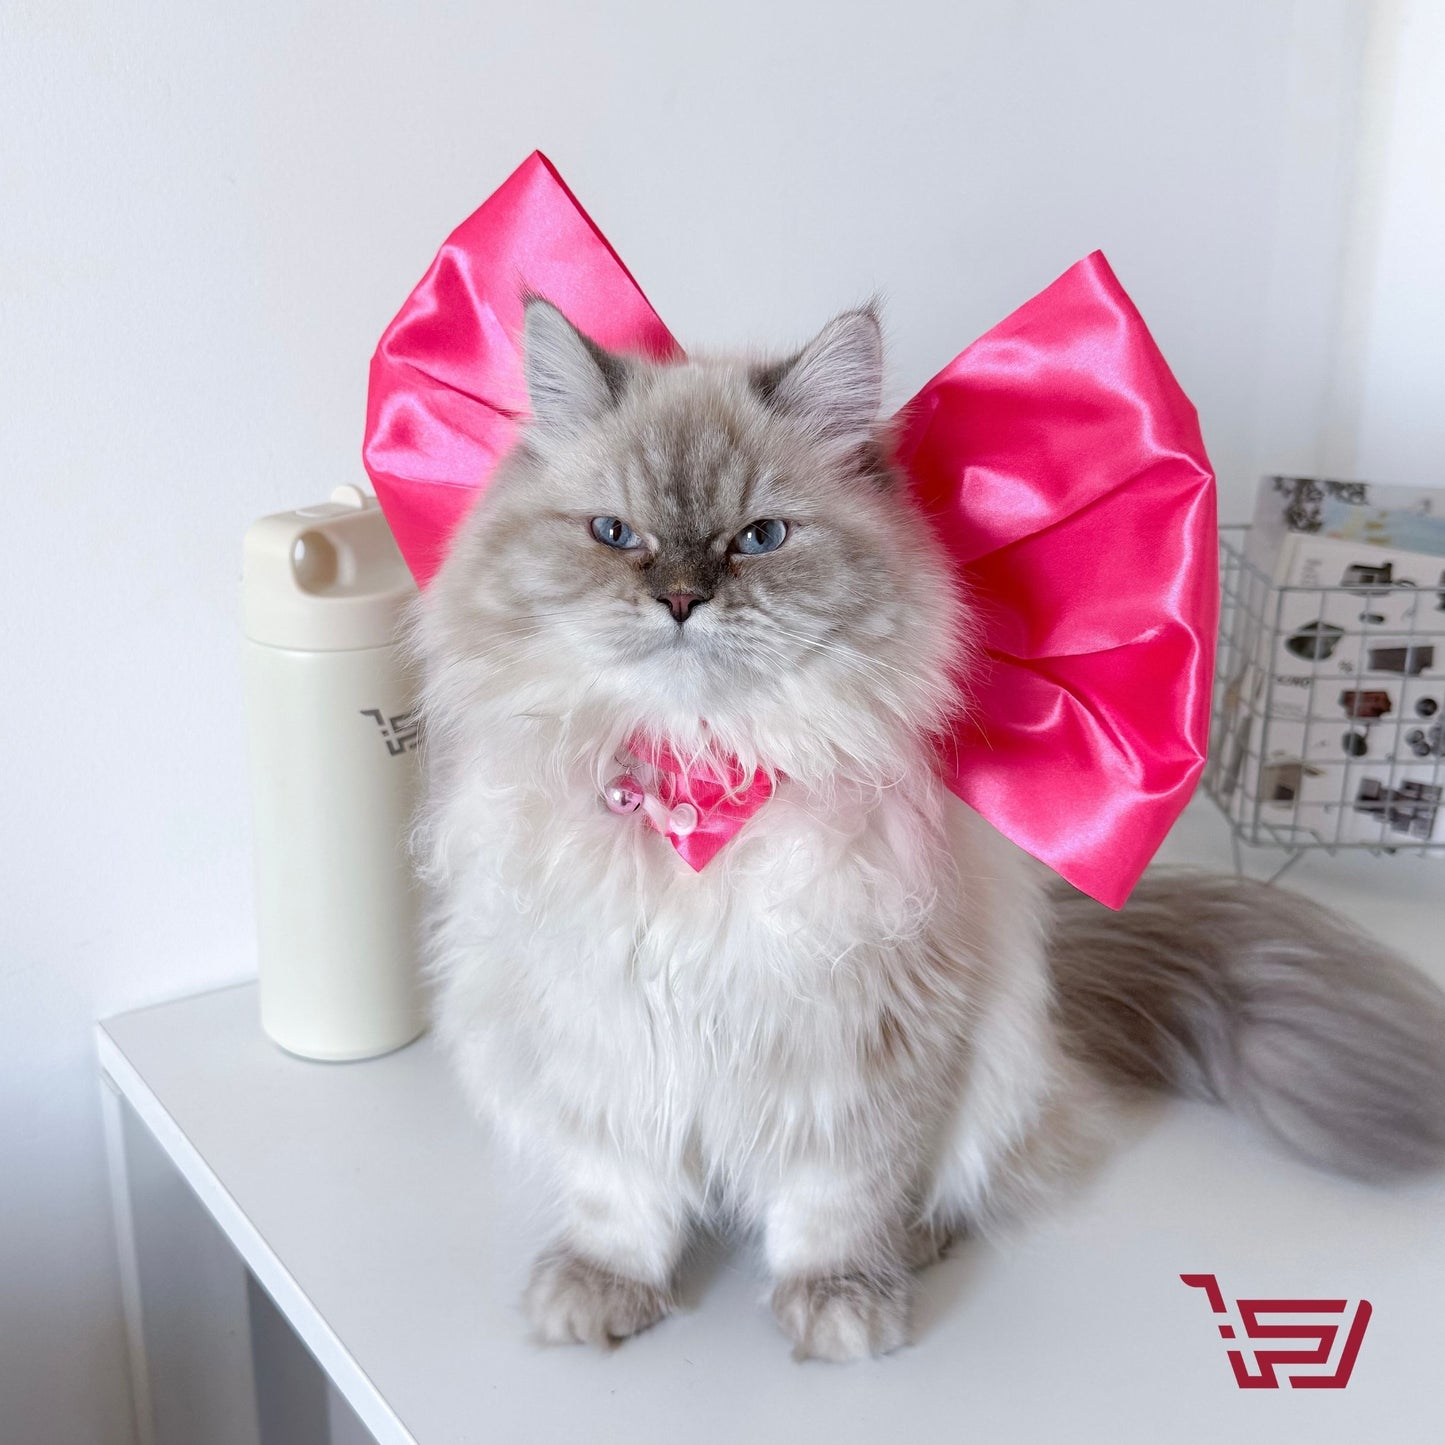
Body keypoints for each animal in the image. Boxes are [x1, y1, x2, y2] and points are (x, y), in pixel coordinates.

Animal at [412, 297, 1445, 1362]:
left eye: (759, 537)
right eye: (615, 534)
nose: (681, 600)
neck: (705, 778)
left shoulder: (864, 1043)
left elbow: (834, 1201)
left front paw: (840, 1308)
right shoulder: (603, 1041)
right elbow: (621, 1200)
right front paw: (604, 1288)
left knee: (951, 1183)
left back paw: (913, 1244)